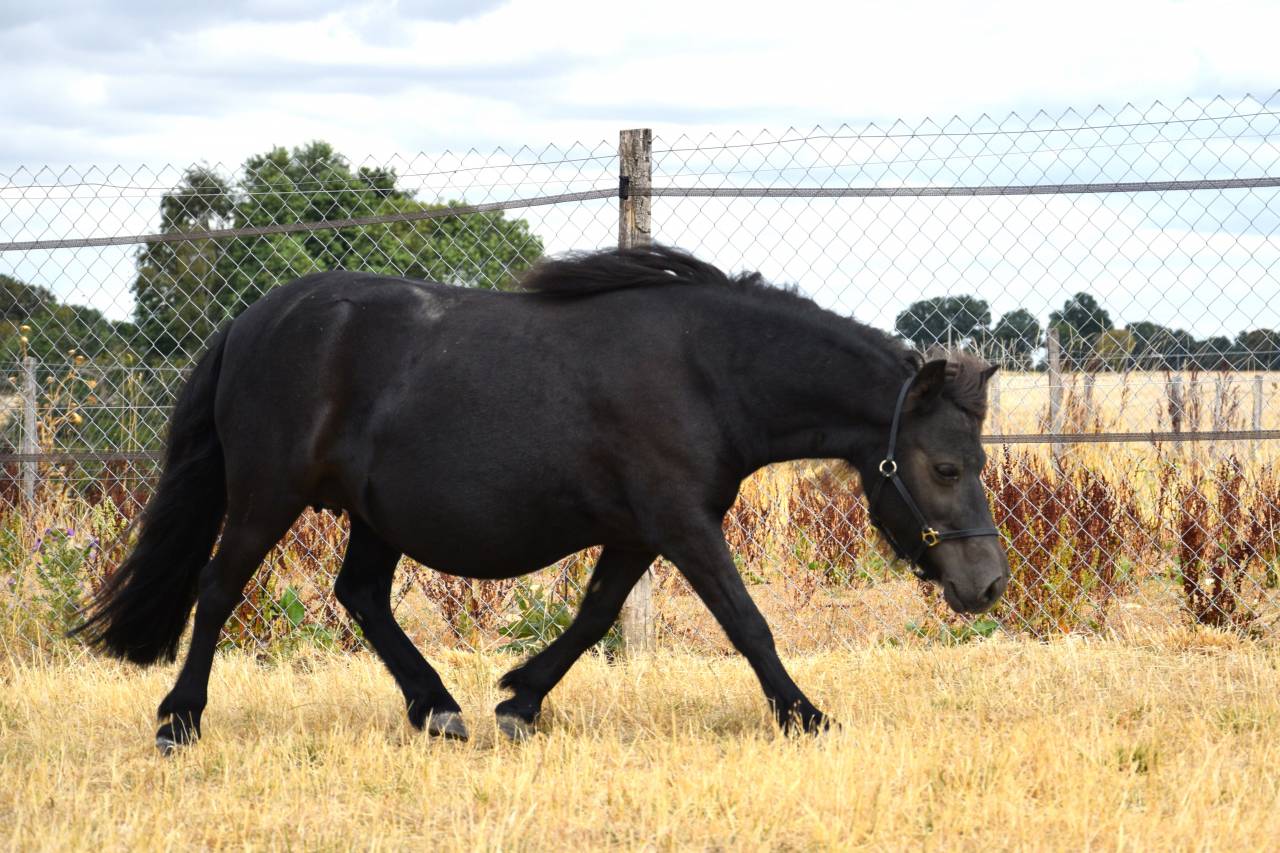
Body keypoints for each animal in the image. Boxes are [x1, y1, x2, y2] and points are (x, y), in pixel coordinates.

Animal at [73, 245, 1009, 752]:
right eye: (947, 467)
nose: (990, 583)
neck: (707, 370)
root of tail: (250, 320)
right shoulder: (680, 522)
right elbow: (748, 622)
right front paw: (805, 714)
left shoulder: (640, 530)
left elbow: (593, 617)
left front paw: (518, 700)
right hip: (270, 494)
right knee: (218, 587)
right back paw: (180, 720)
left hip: (376, 514)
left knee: (361, 595)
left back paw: (439, 708)